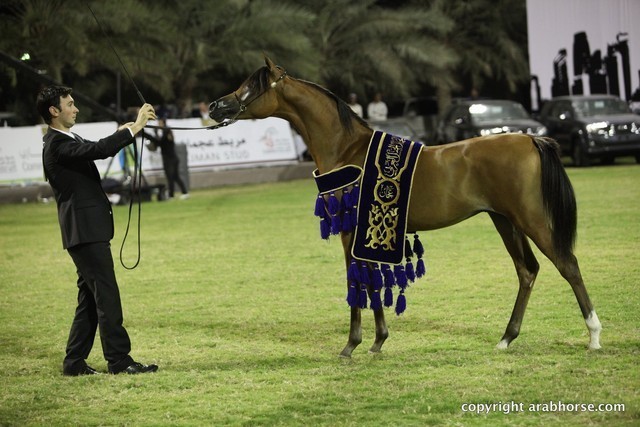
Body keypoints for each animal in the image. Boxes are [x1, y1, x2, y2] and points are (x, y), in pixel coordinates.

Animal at [208, 57, 602, 357]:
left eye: (251, 85)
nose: (215, 106)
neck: (348, 150)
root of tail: (531, 139)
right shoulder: (363, 234)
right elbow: (370, 281)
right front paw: (377, 341)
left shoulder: (350, 232)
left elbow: (357, 280)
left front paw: (351, 345)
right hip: (505, 221)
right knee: (527, 271)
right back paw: (506, 338)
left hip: (531, 219)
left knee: (567, 264)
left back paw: (594, 337)